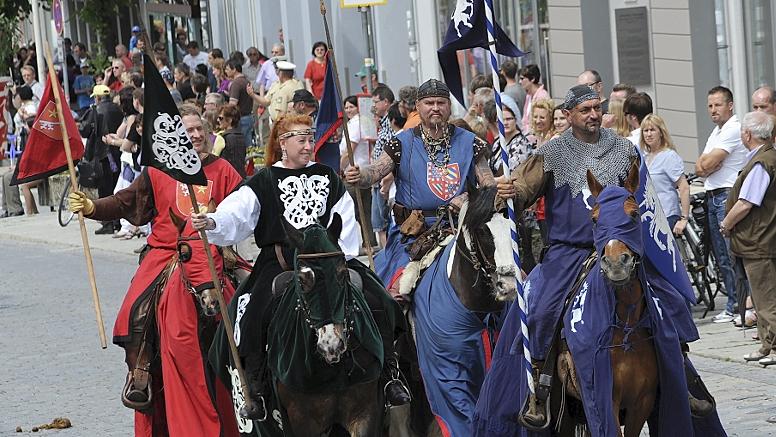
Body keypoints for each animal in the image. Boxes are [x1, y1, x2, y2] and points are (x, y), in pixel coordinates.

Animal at [552, 164, 656, 436]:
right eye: (595, 219)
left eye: (633, 215)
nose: (616, 264)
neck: (626, 327)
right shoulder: (603, 401)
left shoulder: (642, 402)